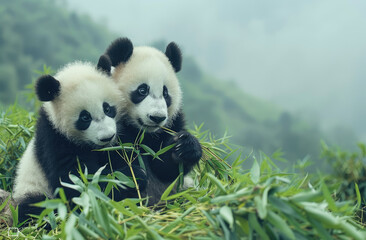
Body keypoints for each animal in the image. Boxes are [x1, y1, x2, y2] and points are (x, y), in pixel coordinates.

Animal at [10, 58, 142, 223]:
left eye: (107, 108)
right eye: (85, 117)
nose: (107, 137)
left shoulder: (118, 139)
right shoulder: (55, 139)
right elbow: (76, 183)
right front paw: (130, 176)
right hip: (33, 190)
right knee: (34, 209)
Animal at [101, 37, 202, 204]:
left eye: (165, 93)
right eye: (143, 90)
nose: (157, 117)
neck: (143, 132)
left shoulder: (173, 122)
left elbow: (164, 169)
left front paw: (185, 146)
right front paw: (134, 176)